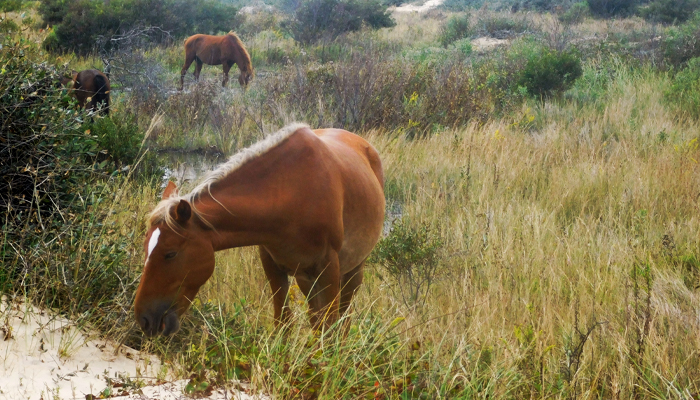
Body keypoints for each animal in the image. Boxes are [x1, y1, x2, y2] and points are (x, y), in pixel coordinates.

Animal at [134, 123, 385, 337]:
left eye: (170, 253)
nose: (144, 319)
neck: (292, 190)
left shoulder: (329, 268)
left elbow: (330, 329)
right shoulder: (272, 264)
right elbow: (284, 323)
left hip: (352, 272)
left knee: (342, 318)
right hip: (306, 279)